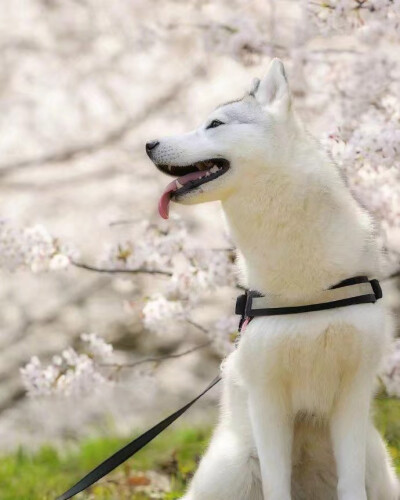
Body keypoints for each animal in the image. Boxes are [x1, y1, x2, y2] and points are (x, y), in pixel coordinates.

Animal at [146, 59, 396, 500]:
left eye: (214, 124)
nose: (148, 144)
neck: (304, 288)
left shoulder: (352, 394)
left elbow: (351, 487)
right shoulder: (268, 400)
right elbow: (277, 486)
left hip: (374, 459)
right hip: (236, 465)